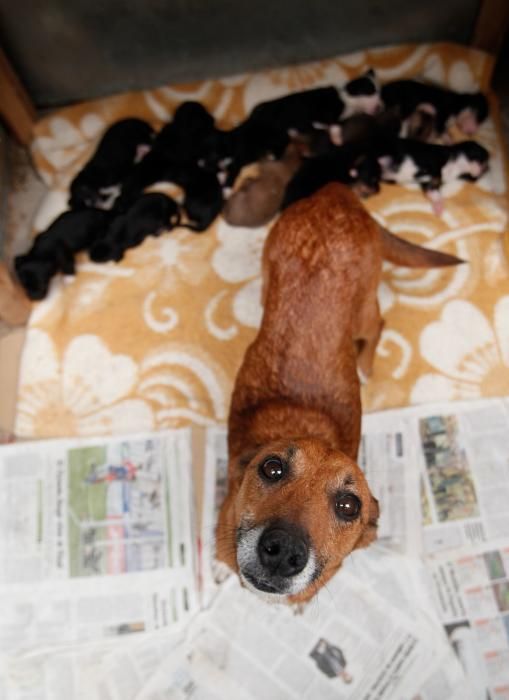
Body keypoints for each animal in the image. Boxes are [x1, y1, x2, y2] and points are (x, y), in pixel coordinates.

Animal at [216, 183, 462, 604]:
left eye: (349, 505)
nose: (283, 550)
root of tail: (338, 193)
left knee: (378, 324)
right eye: (272, 467)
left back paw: (364, 367)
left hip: (362, 309)